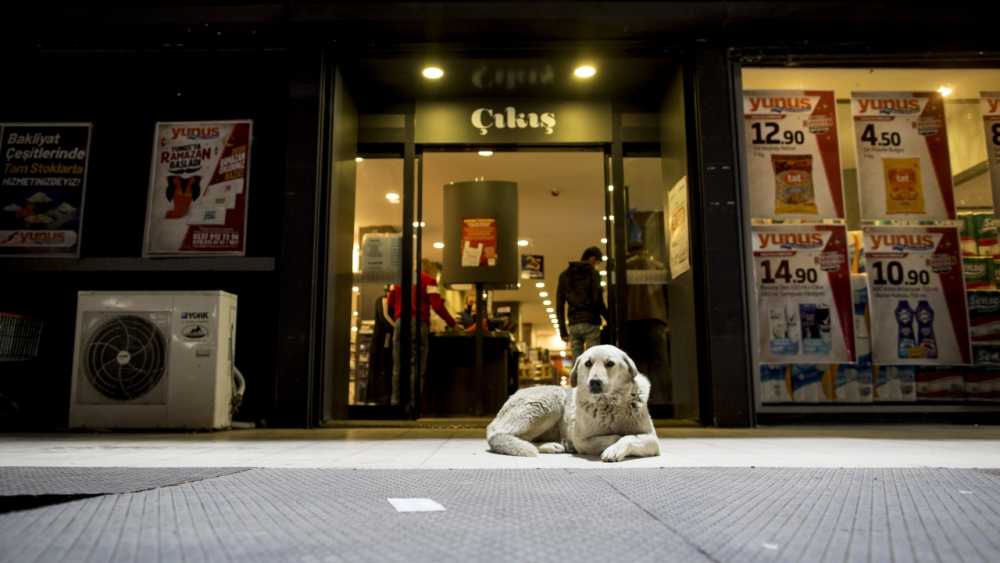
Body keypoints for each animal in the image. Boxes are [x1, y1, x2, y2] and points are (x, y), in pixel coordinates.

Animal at [486, 344, 660, 462]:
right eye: (588, 363)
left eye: (610, 363)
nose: (595, 382)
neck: (609, 405)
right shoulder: (582, 440)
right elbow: (616, 436)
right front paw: (612, 445)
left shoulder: (652, 439)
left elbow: (628, 437)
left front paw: (615, 449)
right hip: (553, 398)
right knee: (505, 437)